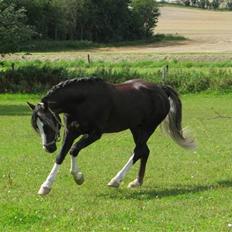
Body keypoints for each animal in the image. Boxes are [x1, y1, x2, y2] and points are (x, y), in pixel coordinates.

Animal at [28, 78, 197, 196]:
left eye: (47, 124)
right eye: (37, 126)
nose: (48, 147)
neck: (82, 101)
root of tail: (160, 89)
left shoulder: (95, 134)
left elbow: (74, 149)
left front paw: (78, 177)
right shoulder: (71, 132)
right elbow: (61, 155)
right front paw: (45, 186)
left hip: (148, 128)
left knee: (138, 151)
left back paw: (116, 181)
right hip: (136, 128)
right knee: (145, 151)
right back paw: (136, 182)